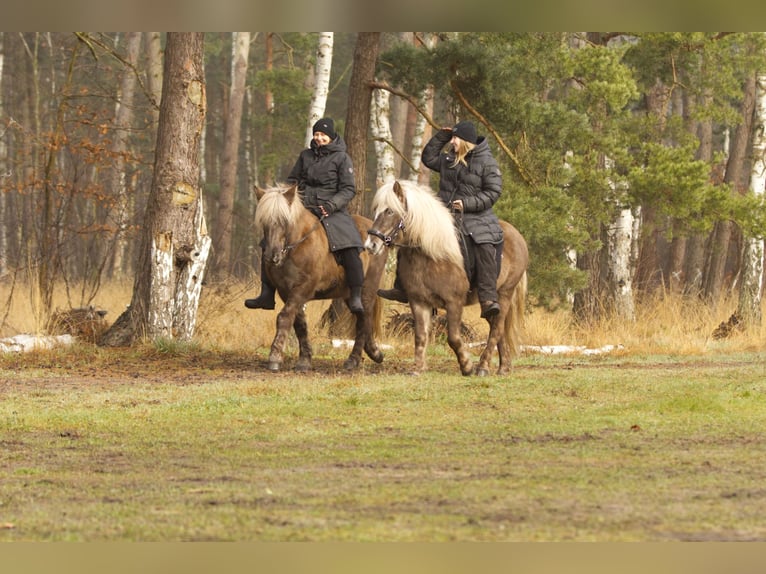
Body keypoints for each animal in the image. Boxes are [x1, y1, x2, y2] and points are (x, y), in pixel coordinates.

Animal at [255, 184, 388, 374]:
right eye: (263, 222)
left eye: (285, 221)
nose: (272, 256)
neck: (297, 246)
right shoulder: (286, 291)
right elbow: (300, 323)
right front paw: (304, 360)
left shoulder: (302, 288)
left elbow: (285, 316)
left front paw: (275, 357)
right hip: (347, 293)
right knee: (364, 318)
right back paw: (374, 352)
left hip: (367, 288)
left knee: (364, 319)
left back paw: (353, 360)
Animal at [366, 181, 528, 378]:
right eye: (376, 209)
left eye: (389, 211)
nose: (371, 244)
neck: (431, 254)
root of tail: (517, 236)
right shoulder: (418, 301)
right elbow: (420, 335)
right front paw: (417, 368)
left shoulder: (454, 302)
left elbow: (453, 338)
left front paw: (467, 366)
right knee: (499, 328)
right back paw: (503, 367)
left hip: (504, 294)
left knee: (496, 329)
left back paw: (483, 367)